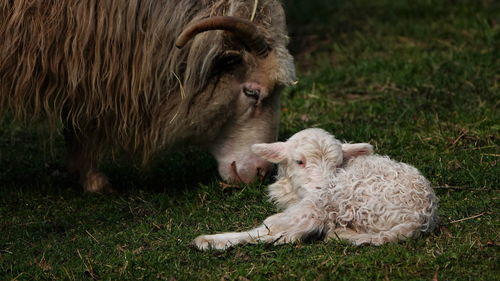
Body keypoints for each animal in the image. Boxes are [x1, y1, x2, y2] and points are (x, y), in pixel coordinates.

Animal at [192, 127, 438, 249]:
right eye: (299, 161)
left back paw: (208, 241)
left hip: (344, 200)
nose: (322, 187)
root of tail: (419, 220)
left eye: (337, 163)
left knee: (282, 232)